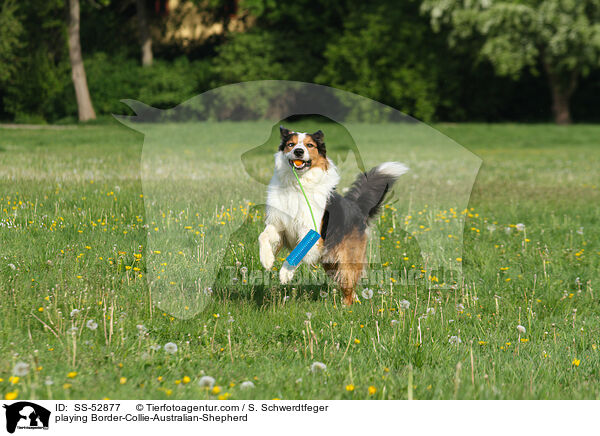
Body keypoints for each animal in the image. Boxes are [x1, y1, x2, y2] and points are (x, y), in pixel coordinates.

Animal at [258, 125, 408, 304]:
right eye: (290, 144)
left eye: (309, 145)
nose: (299, 151)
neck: (298, 184)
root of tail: (356, 207)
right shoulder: (278, 225)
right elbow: (263, 236)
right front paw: (267, 260)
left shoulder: (312, 233)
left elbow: (299, 251)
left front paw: (285, 273)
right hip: (330, 261)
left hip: (346, 258)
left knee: (348, 283)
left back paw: (346, 307)